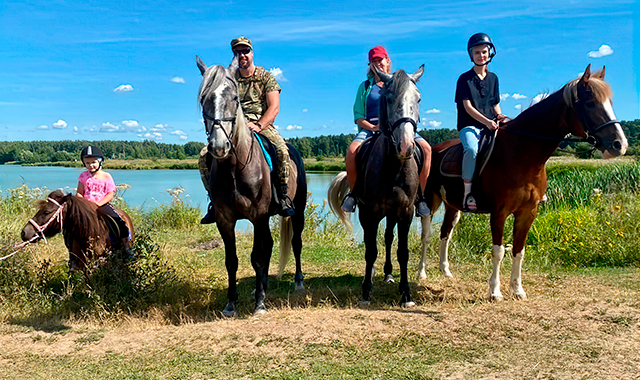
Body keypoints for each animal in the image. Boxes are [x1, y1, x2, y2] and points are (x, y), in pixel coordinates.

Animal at [195, 55, 308, 316]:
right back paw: (261, 286)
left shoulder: (258, 216)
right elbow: (232, 260)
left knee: (295, 243)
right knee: (270, 246)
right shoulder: (225, 219)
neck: (235, 168)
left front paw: (260, 304)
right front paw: (231, 304)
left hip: (297, 211)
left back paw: (296, 282)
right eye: (204, 99)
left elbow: (257, 257)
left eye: (234, 98)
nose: (219, 146)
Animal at [418, 65, 628, 300]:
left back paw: (445, 271)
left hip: (452, 206)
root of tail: (434, 148)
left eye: (610, 103)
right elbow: (499, 251)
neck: (520, 153)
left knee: (445, 233)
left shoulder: (528, 212)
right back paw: (421, 273)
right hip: (430, 201)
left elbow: (519, 250)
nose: (620, 145)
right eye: (590, 103)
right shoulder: (499, 212)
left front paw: (517, 289)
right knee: (426, 236)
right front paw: (495, 291)